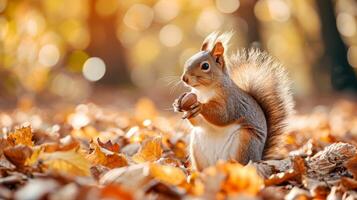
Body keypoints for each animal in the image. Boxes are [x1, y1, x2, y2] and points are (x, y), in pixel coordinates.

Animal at [172, 32, 292, 171]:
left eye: (205, 66)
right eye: (188, 61)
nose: (184, 78)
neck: (204, 91)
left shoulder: (231, 101)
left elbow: (223, 115)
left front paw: (200, 106)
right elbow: (198, 122)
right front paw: (178, 104)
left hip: (245, 141)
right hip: (197, 147)